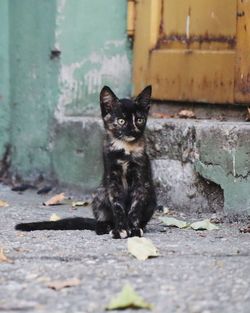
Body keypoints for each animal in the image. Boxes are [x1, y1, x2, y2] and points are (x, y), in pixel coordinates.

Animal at [15, 85, 156, 239]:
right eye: (121, 121)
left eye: (140, 120)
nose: (133, 131)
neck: (125, 149)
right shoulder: (112, 179)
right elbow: (117, 206)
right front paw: (121, 229)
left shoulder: (141, 180)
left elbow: (135, 207)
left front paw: (134, 229)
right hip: (101, 192)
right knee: (102, 218)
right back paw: (105, 227)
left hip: (150, 195)